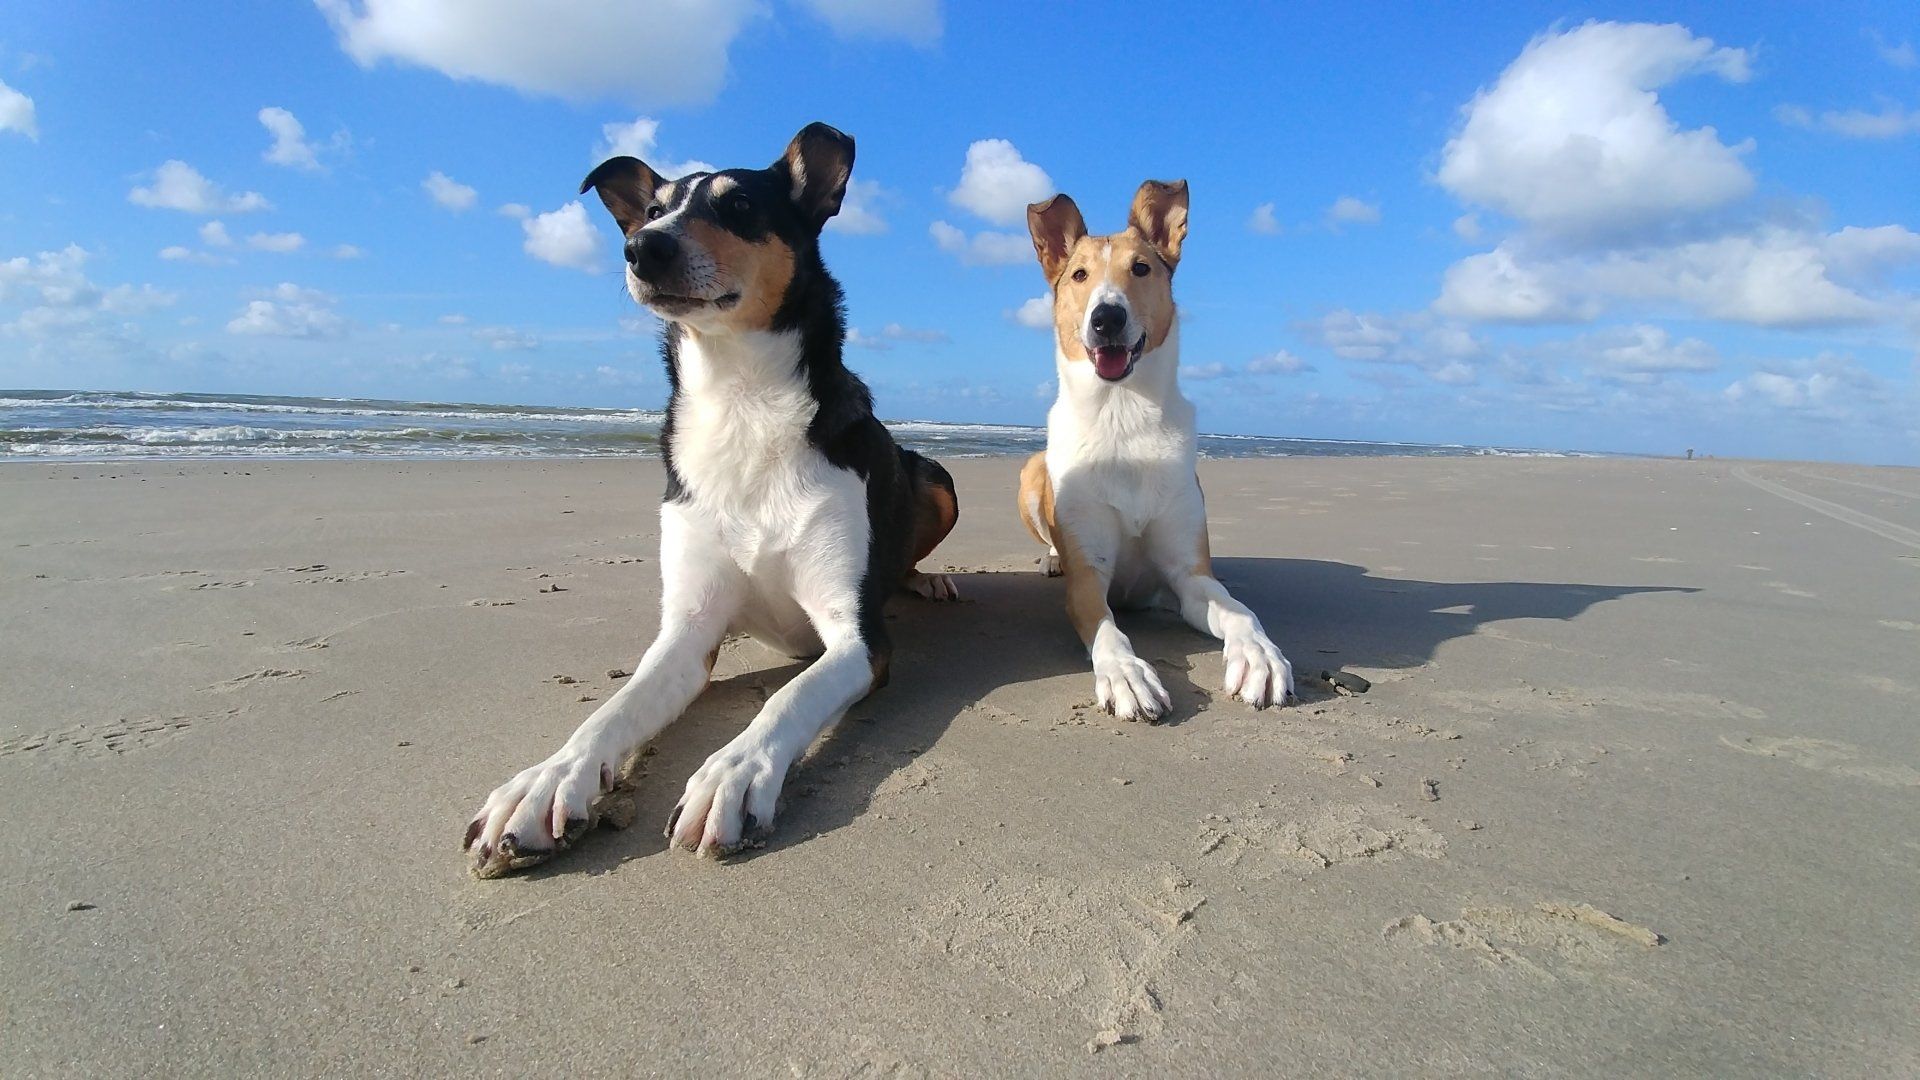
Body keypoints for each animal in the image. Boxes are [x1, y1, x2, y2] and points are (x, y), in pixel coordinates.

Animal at [465, 123, 960, 875]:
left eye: (740, 206)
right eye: (652, 209)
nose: (644, 248)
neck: (742, 399)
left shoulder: (857, 637)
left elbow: (788, 698)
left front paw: (734, 774)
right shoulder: (689, 630)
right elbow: (612, 709)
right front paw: (548, 782)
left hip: (937, 480)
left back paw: (925, 580)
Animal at [1017, 179, 1293, 721]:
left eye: (1141, 269)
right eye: (1079, 275)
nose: (1107, 318)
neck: (1122, 415)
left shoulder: (1187, 576)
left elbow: (1239, 611)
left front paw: (1260, 657)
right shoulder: (1088, 580)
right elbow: (1110, 633)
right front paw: (1127, 676)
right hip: (1030, 473)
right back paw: (1050, 559)